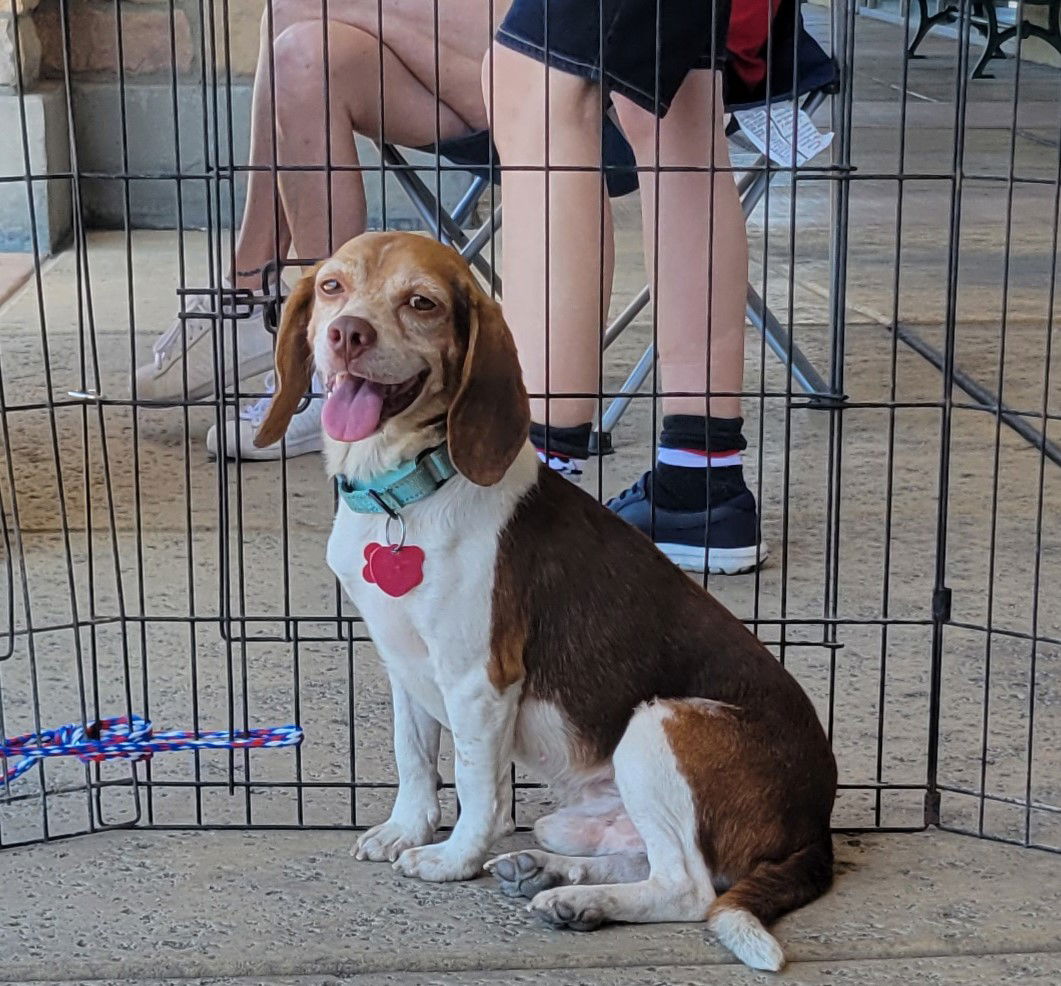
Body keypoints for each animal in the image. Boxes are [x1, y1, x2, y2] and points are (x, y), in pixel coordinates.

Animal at [256, 232, 836, 976]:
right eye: (331, 286)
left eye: (422, 303)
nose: (347, 333)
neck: (409, 495)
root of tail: (816, 824)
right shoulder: (404, 665)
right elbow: (413, 759)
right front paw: (404, 830)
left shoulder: (478, 681)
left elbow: (475, 785)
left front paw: (451, 858)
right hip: (577, 814)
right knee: (645, 858)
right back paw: (550, 876)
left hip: (660, 725)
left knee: (688, 888)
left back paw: (577, 899)